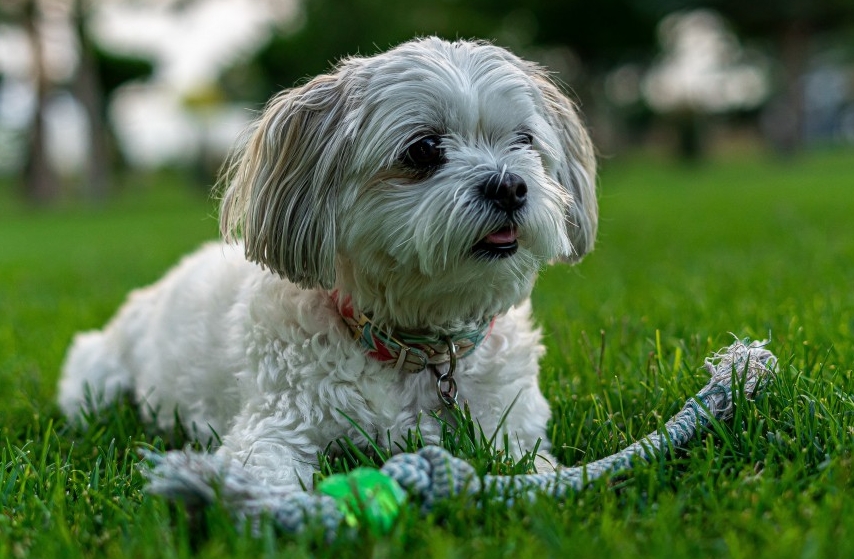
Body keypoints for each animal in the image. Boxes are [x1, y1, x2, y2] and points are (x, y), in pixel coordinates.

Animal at [56, 37, 600, 492]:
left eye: (524, 141)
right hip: (95, 379)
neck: (417, 350)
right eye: (424, 148)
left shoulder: (511, 429)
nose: (509, 185)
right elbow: (266, 478)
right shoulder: (272, 428)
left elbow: (535, 466)